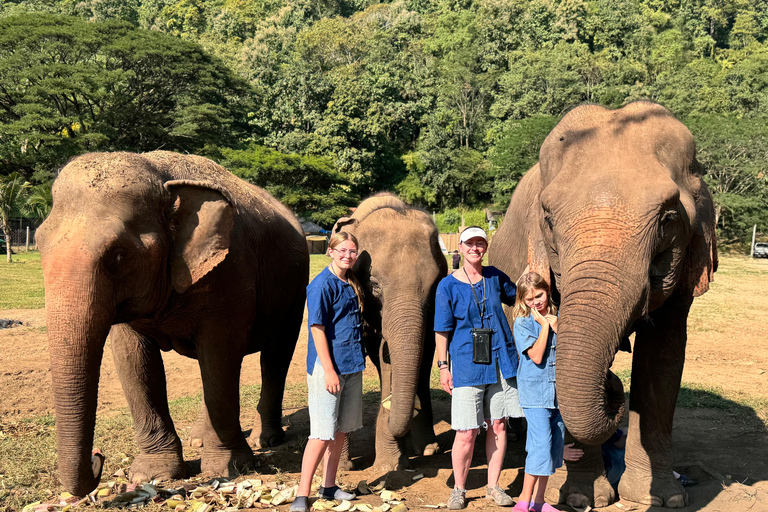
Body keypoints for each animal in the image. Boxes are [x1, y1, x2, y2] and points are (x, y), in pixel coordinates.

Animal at [34, 151, 308, 496]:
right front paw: (153, 475)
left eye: (119, 255)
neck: (162, 177)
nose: (99, 457)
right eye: (38, 244)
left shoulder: (231, 272)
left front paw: (231, 468)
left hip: (296, 289)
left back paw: (265, 439)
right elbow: (134, 362)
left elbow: (220, 353)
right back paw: (199, 440)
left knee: (274, 356)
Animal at [332, 193, 448, 472]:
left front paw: (390, 465)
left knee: (422, 364)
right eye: (374, 284)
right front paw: (343, 467)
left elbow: (394, 363)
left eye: (434, 285)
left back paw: (428, 448)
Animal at [488, 102, 716, 510]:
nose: (611, 388)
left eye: (668, 219)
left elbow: (663, 357)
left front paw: (662, 498)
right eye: (548, 219)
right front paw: (580, 498)